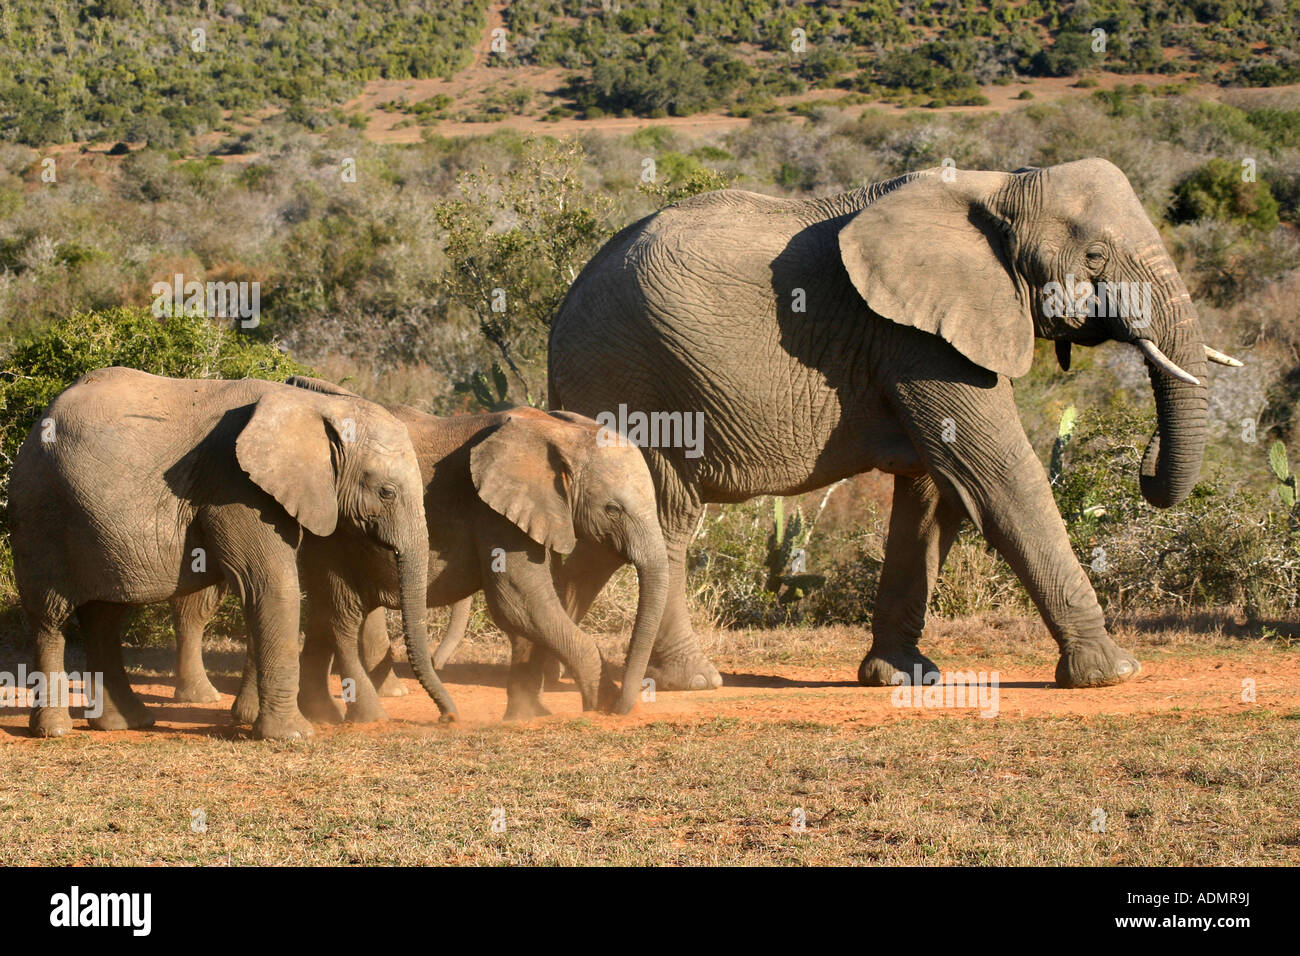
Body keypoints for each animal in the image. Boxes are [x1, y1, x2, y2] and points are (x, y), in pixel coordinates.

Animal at [548, 160, 1237, 691]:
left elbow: (935, 495)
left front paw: (902, 677)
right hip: (633, 380)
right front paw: (1113, 673)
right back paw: (690, 681)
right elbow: (1000, 478)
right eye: (1094, 256)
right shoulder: (915, 338)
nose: (1145, 465)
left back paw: (553, 667)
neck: (998, 188)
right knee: (665, 521)